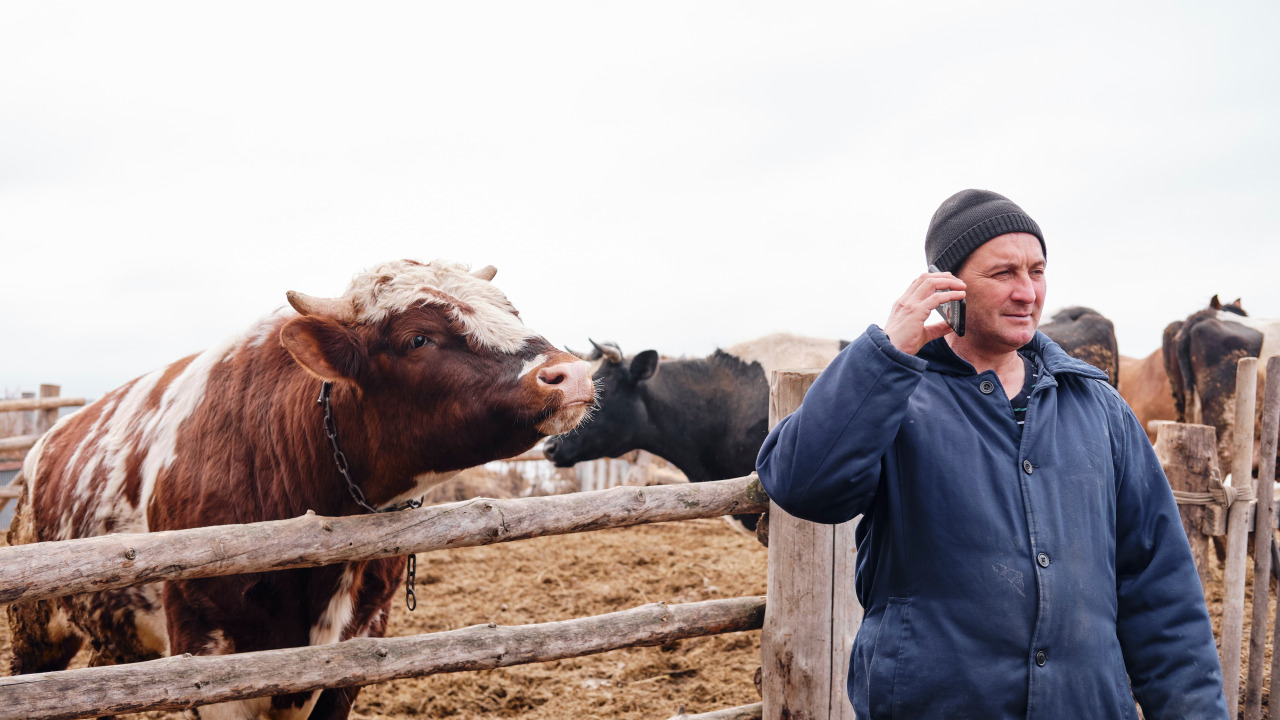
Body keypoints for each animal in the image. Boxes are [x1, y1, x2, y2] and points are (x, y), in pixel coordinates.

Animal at [6, 259, 594, 720]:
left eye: (512, 313)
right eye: (417, 338)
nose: (572, 374)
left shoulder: (357, 650)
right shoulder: (206, 661)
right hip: (38, 629)